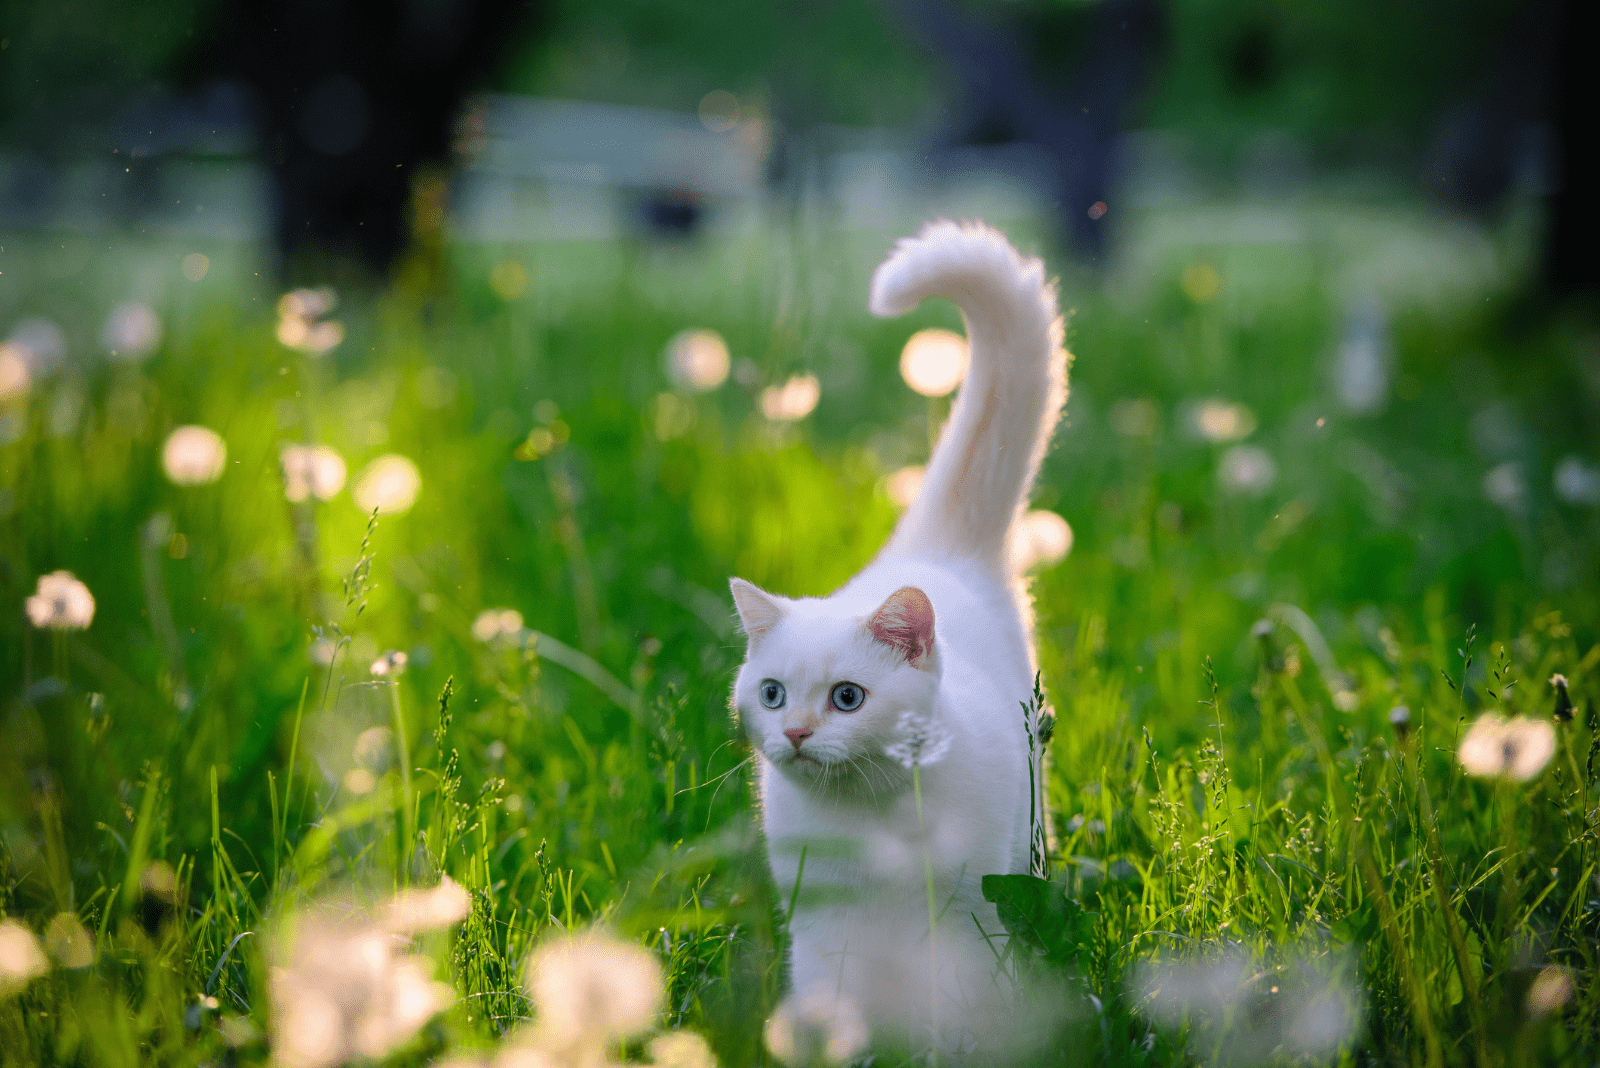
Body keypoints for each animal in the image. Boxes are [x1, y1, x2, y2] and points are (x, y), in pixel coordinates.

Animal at [732, 219, 1068, 1048]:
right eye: (772, 693)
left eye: (848, 698)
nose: (794, 732)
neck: (870, 827)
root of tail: (930, 548)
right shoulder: (820, 931)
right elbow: (829, 1001)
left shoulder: (967, 918)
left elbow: (960, 1003)